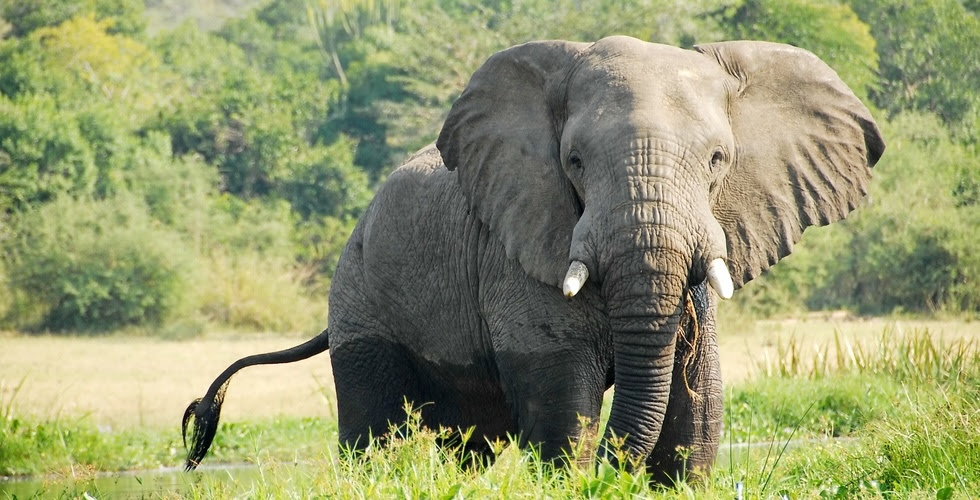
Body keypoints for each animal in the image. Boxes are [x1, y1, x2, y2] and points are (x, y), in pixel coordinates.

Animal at [182, 34, 880, 480]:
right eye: (574, 161)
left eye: (717, 161)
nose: (616, 473)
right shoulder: (517, 255)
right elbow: (563, 414)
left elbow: (697, 416)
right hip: (358, 294)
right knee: (372, 438)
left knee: (469, 444)